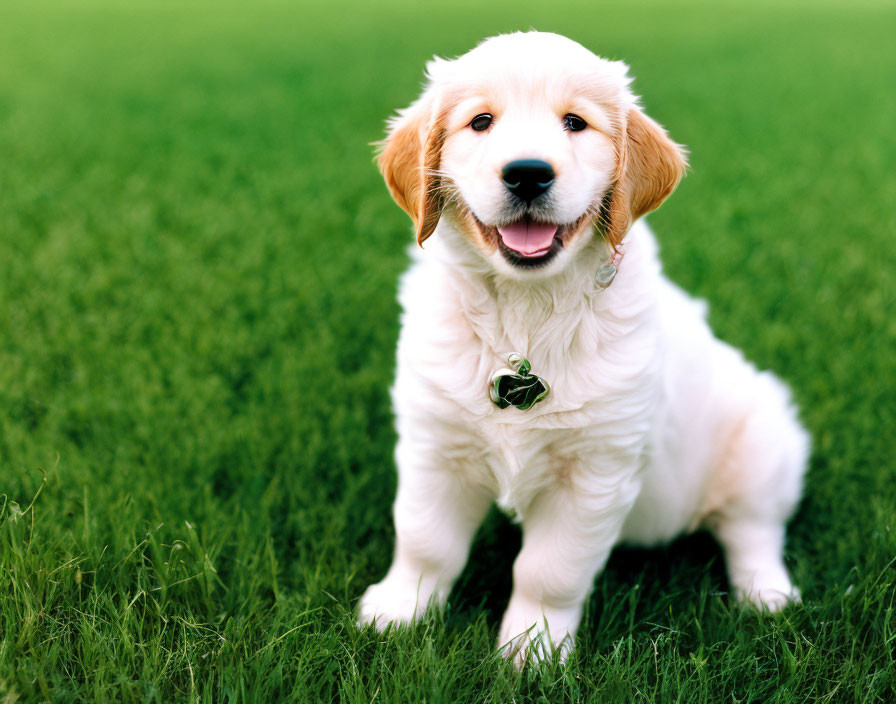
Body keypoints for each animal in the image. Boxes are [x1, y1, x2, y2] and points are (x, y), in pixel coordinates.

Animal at [358, 28, 812, 664]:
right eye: (481, 122)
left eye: (575, 123)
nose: (527, 173)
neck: (527, 312)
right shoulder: (435, 443)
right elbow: (426, 540)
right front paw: (400, 610)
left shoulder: (596, 471)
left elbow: (550, 570)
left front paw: (532, 648)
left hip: (763, 440)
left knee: (753, 527)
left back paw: (766, 594)